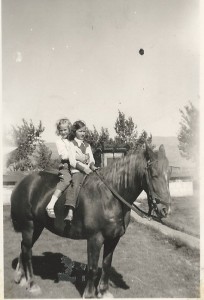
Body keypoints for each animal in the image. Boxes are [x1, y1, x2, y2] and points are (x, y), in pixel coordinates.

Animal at [10, 144, 171, 298]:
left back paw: (21, 278)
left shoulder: (113, 239)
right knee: (27, 252)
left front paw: (104, 292)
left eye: (168, 174)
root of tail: (22, 183)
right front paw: (89, 294)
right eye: (154, 175)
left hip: (37, 226)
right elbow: (92, 268)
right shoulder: (95, 238)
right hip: (29, 226)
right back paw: (32, 284)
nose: (165, 209)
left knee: (24, 248)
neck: (109, 197)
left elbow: (106, 265)